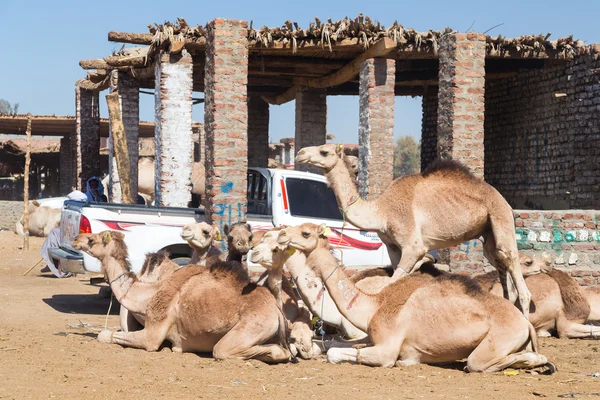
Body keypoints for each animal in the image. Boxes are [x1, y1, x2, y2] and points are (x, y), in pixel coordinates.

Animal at [73, 228, 298, 362]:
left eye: (91, 239)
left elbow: (105, 335)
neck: (146, 295)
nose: (76, 239)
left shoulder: (153, 333)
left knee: (226, 350)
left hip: (249, 328)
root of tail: (277, 310)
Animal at [276, 223, 552, 374]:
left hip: (497, 342)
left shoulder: (387, 348)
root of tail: (525, 323)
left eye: (305, 233)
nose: (281, 235)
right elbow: (333, 346)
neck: (374, 304)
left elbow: (337, 353)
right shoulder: (369, 336)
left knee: (478, 363)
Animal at [298, 144, 532, 318]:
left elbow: (391, 282)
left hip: (500, 216)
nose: (300, 153)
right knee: (499, 262)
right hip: (488, 233)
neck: (381, 211)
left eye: (324, 151)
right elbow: (396, 276)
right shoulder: (392, 246)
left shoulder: (412, 244)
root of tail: (505, 201)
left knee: (512, 263)